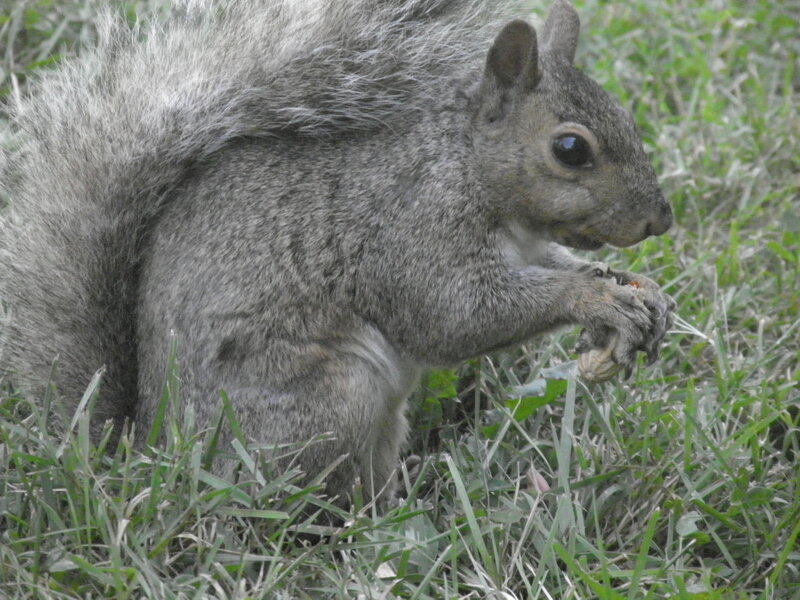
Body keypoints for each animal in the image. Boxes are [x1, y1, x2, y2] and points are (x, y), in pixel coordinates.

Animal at [0, 0, 675, 504]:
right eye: (570, 149)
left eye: (624, 116)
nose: (660, 220)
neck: (467, 169)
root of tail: (153, 451)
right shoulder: (412, 231)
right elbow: (456, 317)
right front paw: (595, 298)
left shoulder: (525, 248)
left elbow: (552, 269)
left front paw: (636, 291)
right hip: (327, 400)